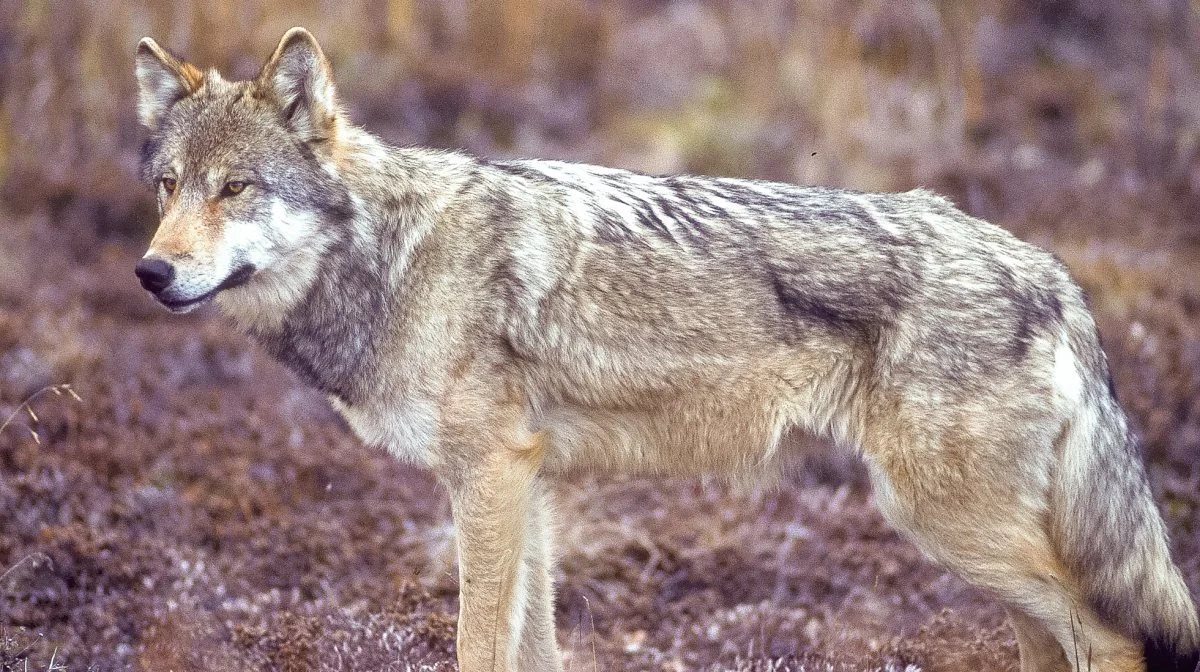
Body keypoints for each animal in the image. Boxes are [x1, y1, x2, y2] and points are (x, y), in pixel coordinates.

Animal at [136, 27, 1195, 672]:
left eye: (237, 188)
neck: (395, 258)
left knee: (1116, 638)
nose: (151, 272)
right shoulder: (528, 485)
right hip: (977, 546)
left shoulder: (490, 477)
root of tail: (1051, 273)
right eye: (168, 185)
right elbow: (534, 647)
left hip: (949, 525)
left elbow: (478, 643)